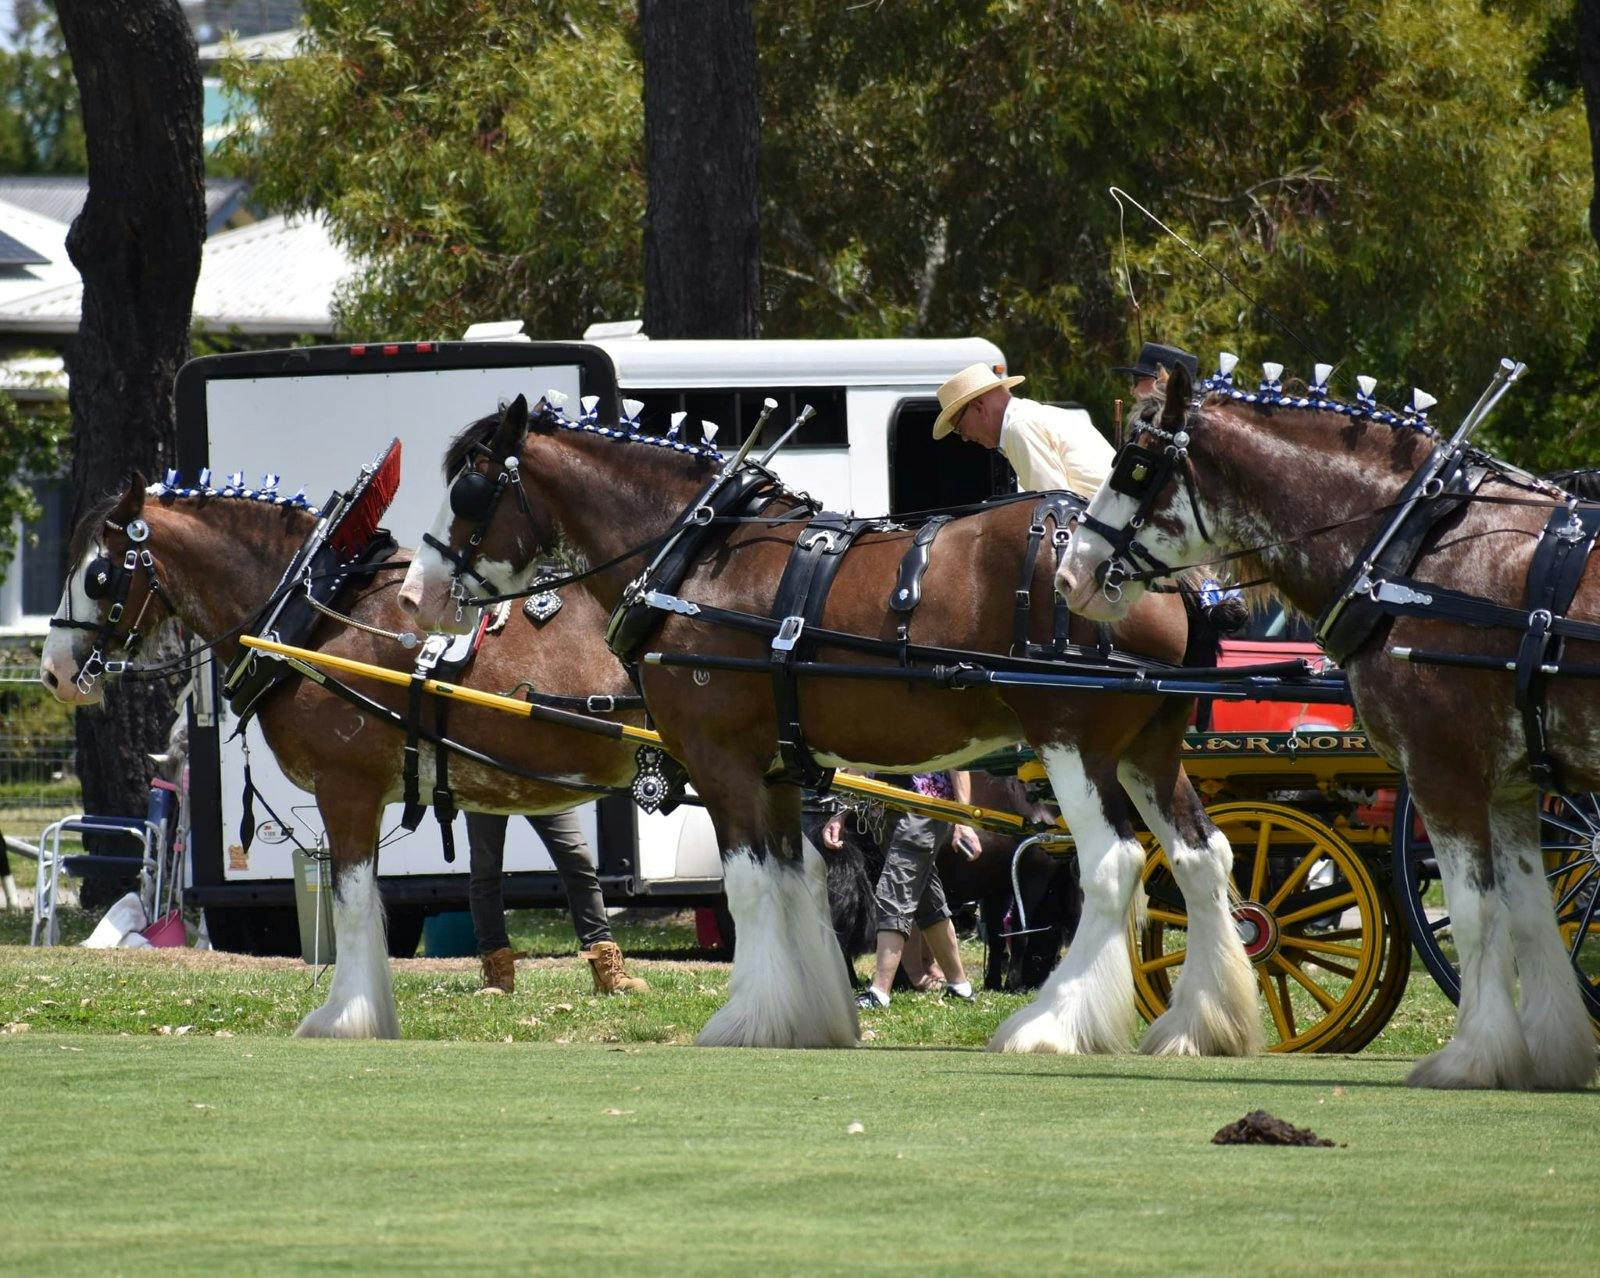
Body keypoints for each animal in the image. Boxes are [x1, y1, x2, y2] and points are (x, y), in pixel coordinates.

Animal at [40, 474, 642, 1038]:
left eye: (96, 576)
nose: (54, 672)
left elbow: (350, 902)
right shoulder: (366, 794)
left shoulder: (346, 786)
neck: (317, 613)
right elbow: (364, 901)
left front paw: (344, 1017)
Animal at [396, 395, 1262, 1056]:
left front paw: (747, 1019)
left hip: (1073, 744)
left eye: (470, 490)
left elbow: (748, 887)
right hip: (1149, 749)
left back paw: (1051, 1025)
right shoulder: (781, 769)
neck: (697, 558)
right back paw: (1201, 1025)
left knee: (1114, 864)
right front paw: (808, 1016)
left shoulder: (720, 760)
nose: (415, 593)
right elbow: (797, 877)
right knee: (1200, 858)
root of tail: (1165, 576)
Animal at [1060, 359, 1599, 1090]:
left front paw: (1473, 1056)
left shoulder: (1443, 769)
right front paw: (1553, 1053)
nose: (1072, 572)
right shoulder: (1514, 786)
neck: (1417, 556)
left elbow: (1475, 912)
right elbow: (1533, 915)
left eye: (1136, 466)